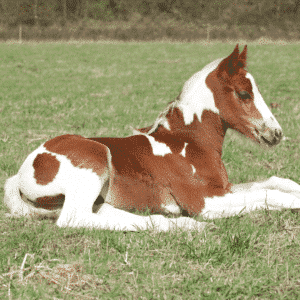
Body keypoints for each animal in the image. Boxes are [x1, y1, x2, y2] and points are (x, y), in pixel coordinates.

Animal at [3, 45, 300, 232]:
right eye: (244, 94)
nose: (276, 133)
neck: (187, 145)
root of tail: (21, 172)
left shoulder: (223, 190)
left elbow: (275, 182)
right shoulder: (203, 202)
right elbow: (269, 195)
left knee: (104, 214)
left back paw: (182, 225)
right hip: (94, 159)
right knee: (75, 219)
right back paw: (188, 225)